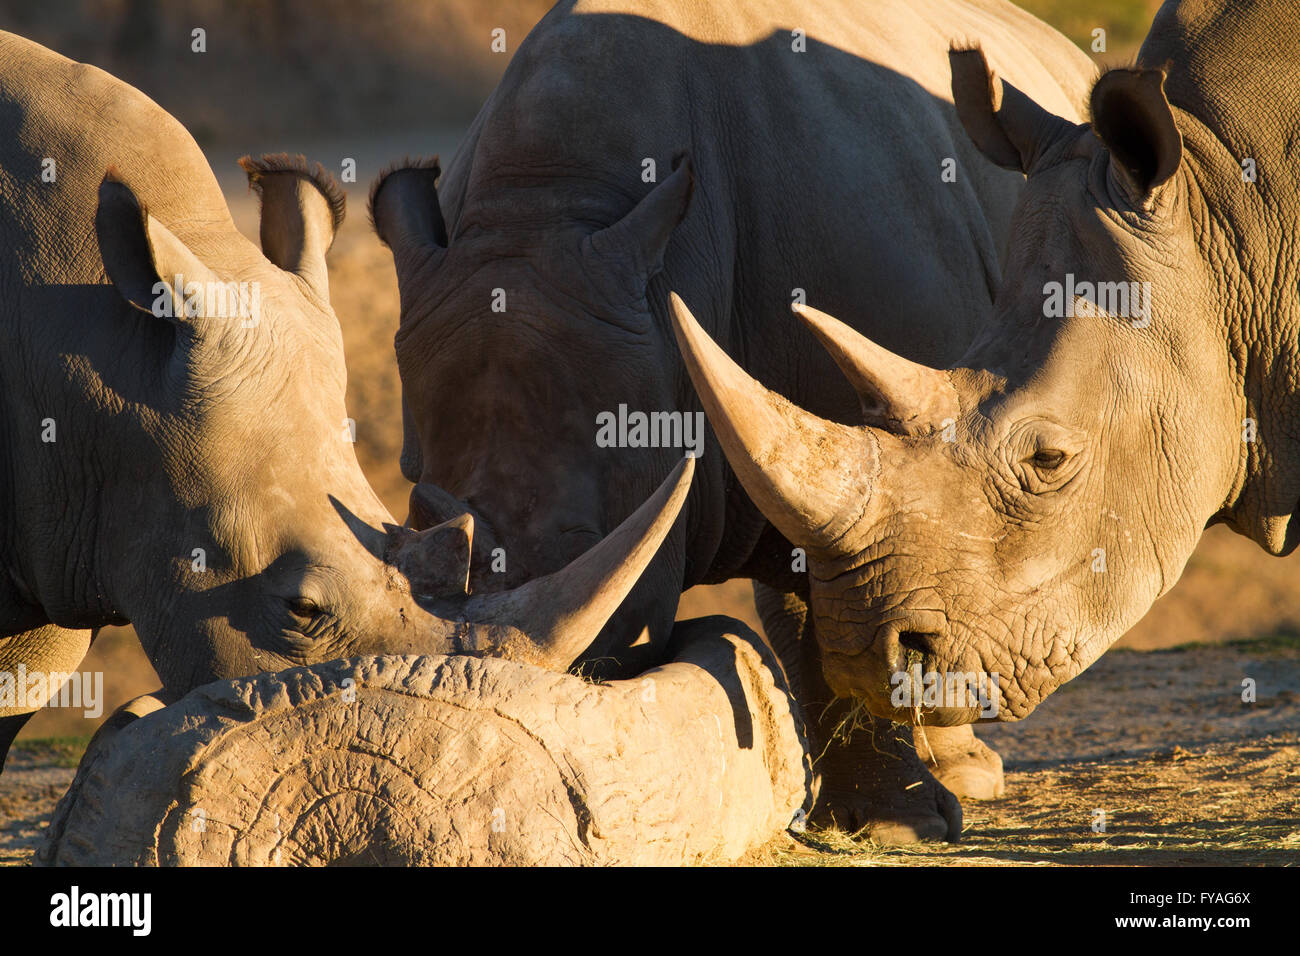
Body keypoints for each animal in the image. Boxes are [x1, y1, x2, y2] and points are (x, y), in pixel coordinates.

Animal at [370, 0, 1094, 838]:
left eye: (583, 542)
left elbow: (855, 594)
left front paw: (891, 827)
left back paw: (966, 779)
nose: (495, 688)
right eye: (414, 511)